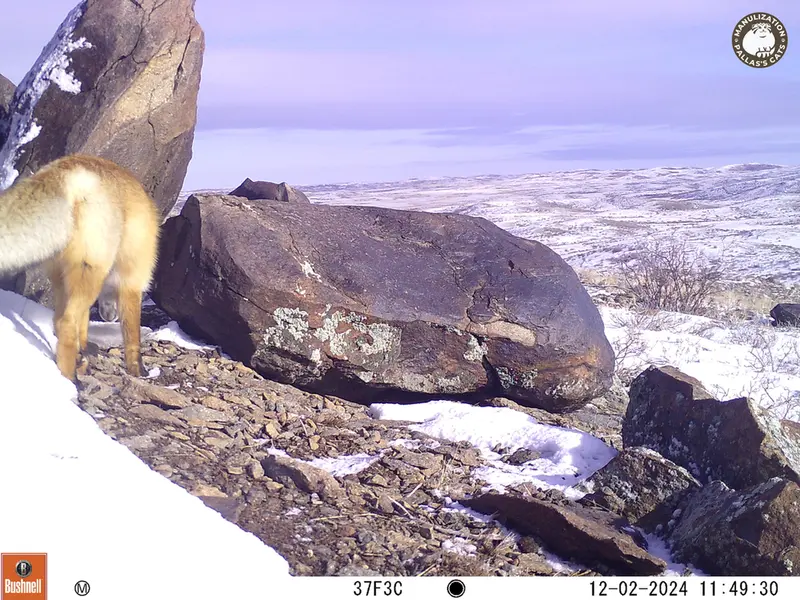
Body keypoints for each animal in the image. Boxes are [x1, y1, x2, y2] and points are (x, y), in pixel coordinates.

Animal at [0, 154, 160, 384]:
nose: (108, 317)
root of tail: (70, 167)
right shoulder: (132, 281)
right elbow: (133, 338)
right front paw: (138, 370)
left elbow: (83, 324)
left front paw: (83, 348)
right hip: (91, 270)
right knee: (65, 323)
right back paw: (70, 378)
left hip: (63, 277)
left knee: (58, 320)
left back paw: (72, 363)